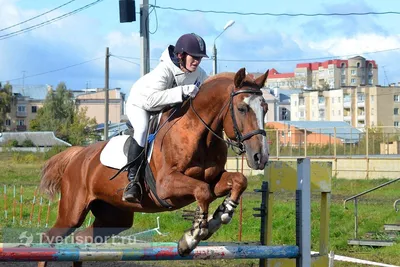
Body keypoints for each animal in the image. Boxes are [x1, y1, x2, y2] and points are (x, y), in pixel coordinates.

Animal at [38, 68, 268, 266]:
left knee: (81, 239)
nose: (260, 157)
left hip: (114, 216)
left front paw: (223, 213)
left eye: (265, 109)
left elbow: (238, 181)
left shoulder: (215, 179)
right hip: (72, 213)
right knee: (48, 238)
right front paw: (191, 238)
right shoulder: (166, 186)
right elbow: (203, 191)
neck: (198, 132)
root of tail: (78, 155)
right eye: (242, 109)